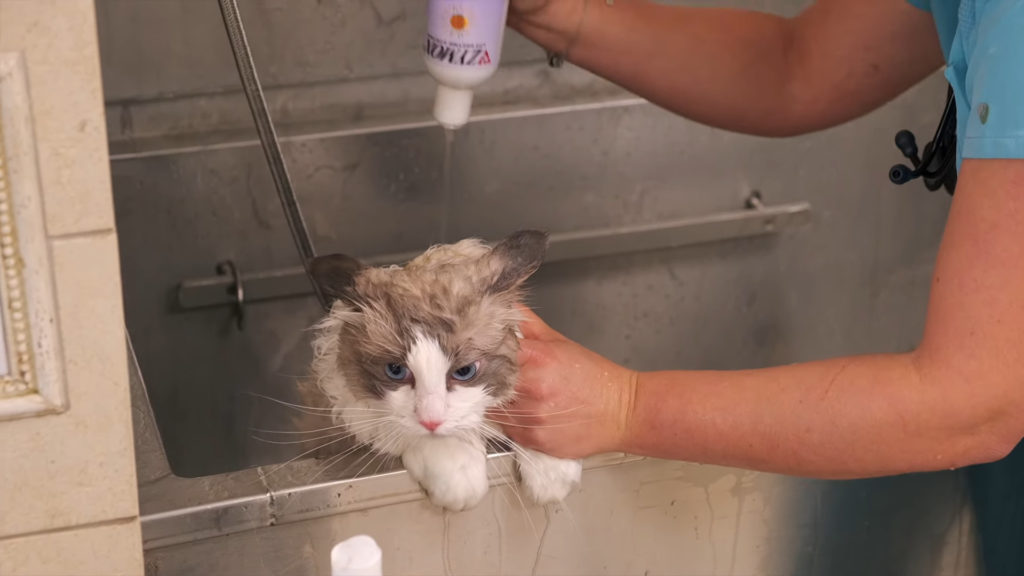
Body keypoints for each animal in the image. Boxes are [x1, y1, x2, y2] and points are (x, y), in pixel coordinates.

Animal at [311, 228, 581, 506]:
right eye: (395, 371)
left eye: (464, 372)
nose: (431, 421)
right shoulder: (350, 407)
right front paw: (459, 480)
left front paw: (552, 471)